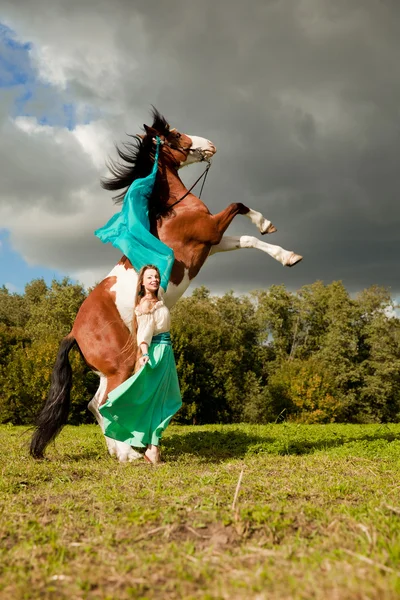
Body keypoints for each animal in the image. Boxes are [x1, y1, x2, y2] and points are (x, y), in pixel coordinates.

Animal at [29, 108, 302, 462]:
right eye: (173, 135)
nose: (210, 144)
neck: (173, 209)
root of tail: (73, 331)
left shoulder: (213, 243)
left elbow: (248, 239)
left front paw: (288, 255)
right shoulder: (210, 230)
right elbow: (238, 205)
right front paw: (266, 223)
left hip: (113, 368)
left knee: (96, 403)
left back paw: (120, 451)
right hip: (121, 364)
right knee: (106, 402)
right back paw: (129, 454)